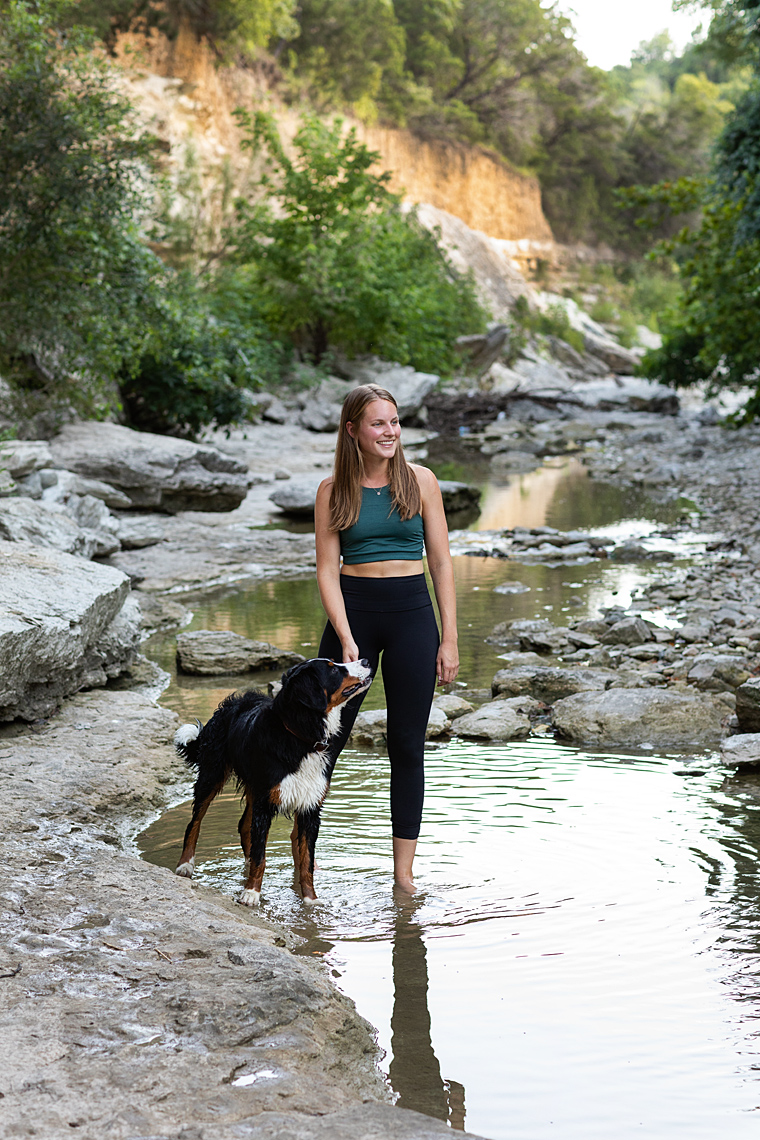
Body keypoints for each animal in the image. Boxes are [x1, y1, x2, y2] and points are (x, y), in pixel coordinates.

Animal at [173, 657, 372, 906]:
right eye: (333, 669)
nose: (366, 660)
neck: (301, 738)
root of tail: (233, 702)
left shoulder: (309, 807)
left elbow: (306, 862)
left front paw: (310, 900)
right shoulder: (265, 804)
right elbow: (262, 856)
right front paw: (251, 893)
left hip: (254, 787)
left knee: (243, 826)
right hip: (213, 775)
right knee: (195, 822)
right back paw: (185, 864)